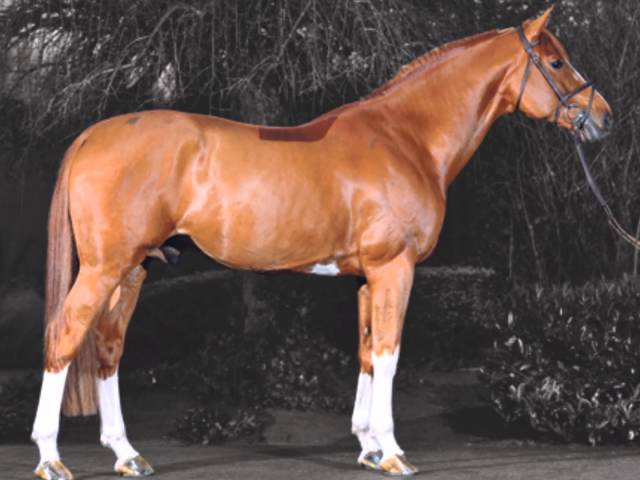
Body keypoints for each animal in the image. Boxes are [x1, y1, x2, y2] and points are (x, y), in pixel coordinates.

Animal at [30, 7, 612, 479]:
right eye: (557, 63)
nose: (603, 117)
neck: (407, 139)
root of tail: (93, 134)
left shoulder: (365, 278)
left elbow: (367, 353)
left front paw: (369, 448)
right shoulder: (394, 269)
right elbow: (390, 353)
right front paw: (394, 452)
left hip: (134, 269)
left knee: (108, 347)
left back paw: (127, 455)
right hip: (104, 268)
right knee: (64, 337)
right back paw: (50, 458)